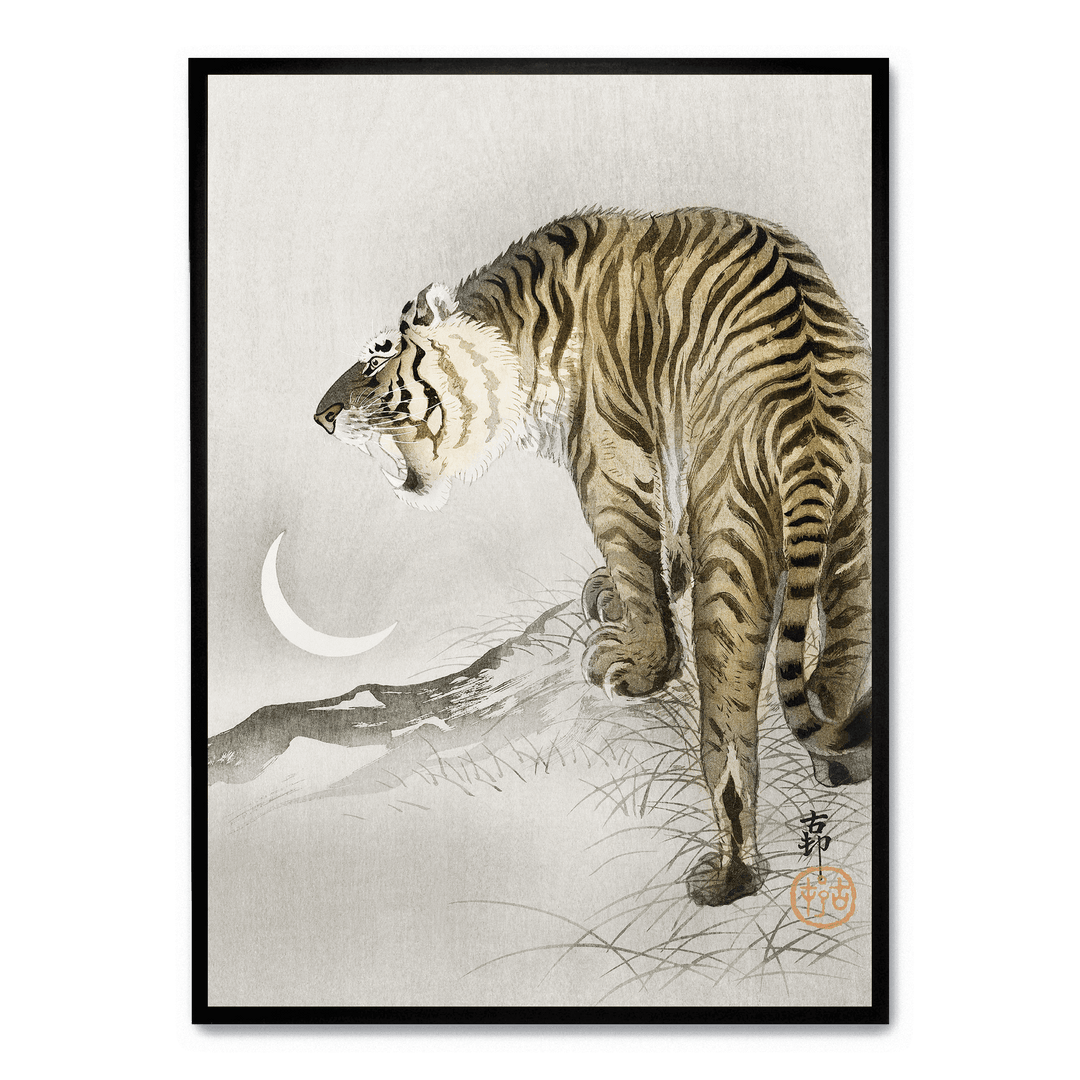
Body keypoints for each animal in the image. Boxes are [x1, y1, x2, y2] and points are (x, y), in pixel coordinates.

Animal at [315, 208, 873, 907]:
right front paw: (627, 588)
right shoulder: (668, 442)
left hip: (734, 545)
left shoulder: (608, 459)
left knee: (730, 735)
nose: (321, 416)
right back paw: (842, 763)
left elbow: (635, 556)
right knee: (837, 670)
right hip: (856, 547)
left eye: (376, 359)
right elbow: (663, 535)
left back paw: (729, 876)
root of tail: (811, 430)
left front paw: (639, 663)